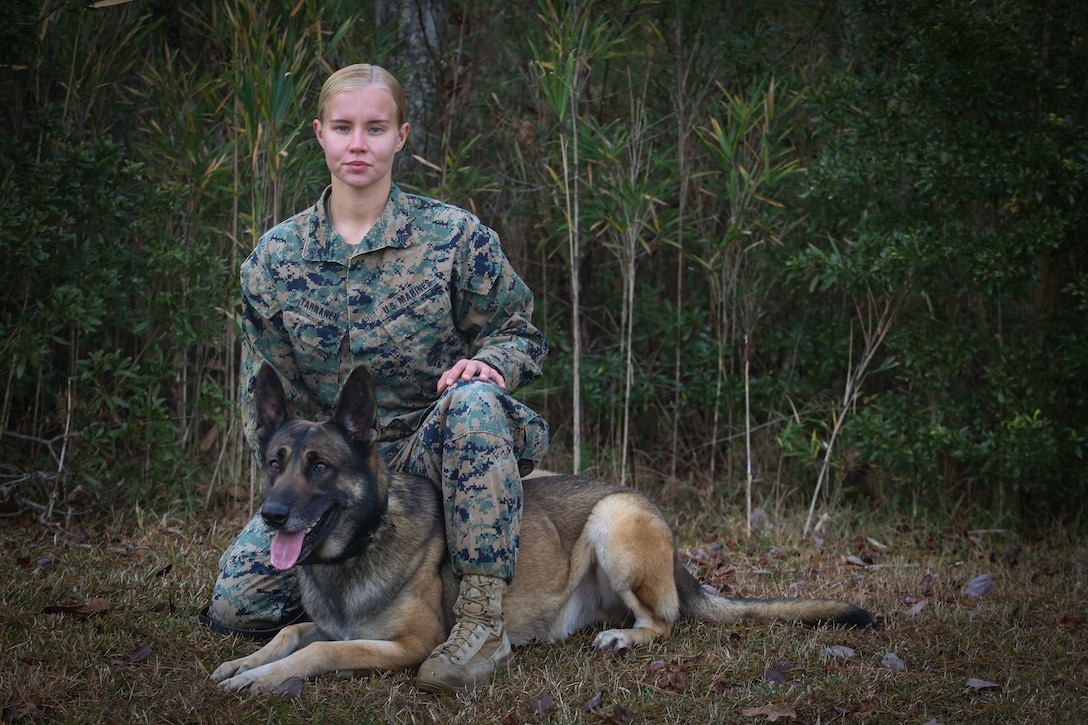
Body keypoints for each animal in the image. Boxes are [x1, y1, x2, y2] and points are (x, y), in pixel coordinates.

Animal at [212, 363, 874, 692]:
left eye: (320, 467)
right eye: (274, 464)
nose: (272, 515)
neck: (361, 543)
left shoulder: (410, 644)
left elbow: (320, 650)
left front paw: (262, 679)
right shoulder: (328, 622)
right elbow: (290, 633)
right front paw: (245, 664)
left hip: (613, 521)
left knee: (665, 622)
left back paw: (625, 638)